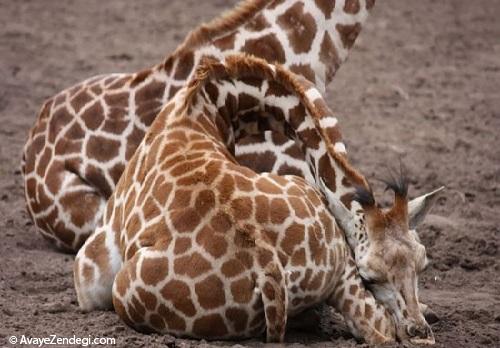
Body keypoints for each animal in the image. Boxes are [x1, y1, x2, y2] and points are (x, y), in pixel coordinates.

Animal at [74, 55, 438, 344]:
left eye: (422, 263)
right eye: (370, 275)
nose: (418, 332)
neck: (207, 109)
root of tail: (266, 264)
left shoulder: (91, 261)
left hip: (123, 291)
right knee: (377, 329)